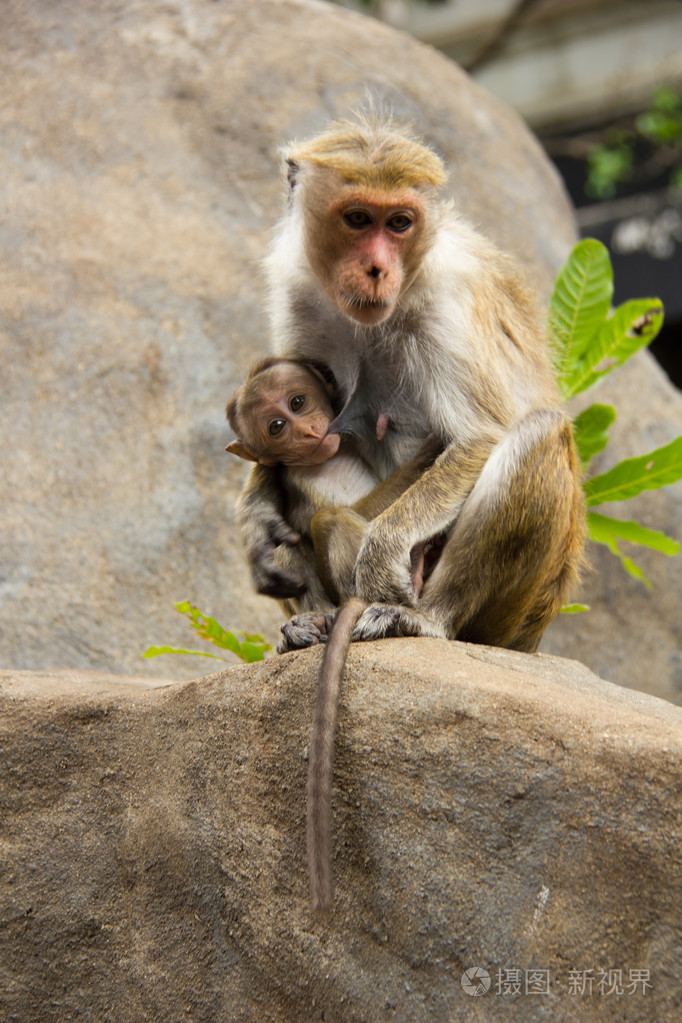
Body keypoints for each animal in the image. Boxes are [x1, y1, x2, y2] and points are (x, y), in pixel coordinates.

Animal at [226, 356, 439, 908]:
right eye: (276, 427)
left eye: (298, 402)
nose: (307, 432)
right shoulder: (300, 484)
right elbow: (332, 517)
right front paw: (425, 454)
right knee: (326, 525)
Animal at [237, 114, 584, 654]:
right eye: (358, 219)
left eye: (399, 223)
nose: (377, 268)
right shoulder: (298, 295)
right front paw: (257, 524)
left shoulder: (447, 301)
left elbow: (478, 437)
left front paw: (381, 556)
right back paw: (312, 621)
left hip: (517, 615)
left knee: (537, 434)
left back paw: (427, 618)